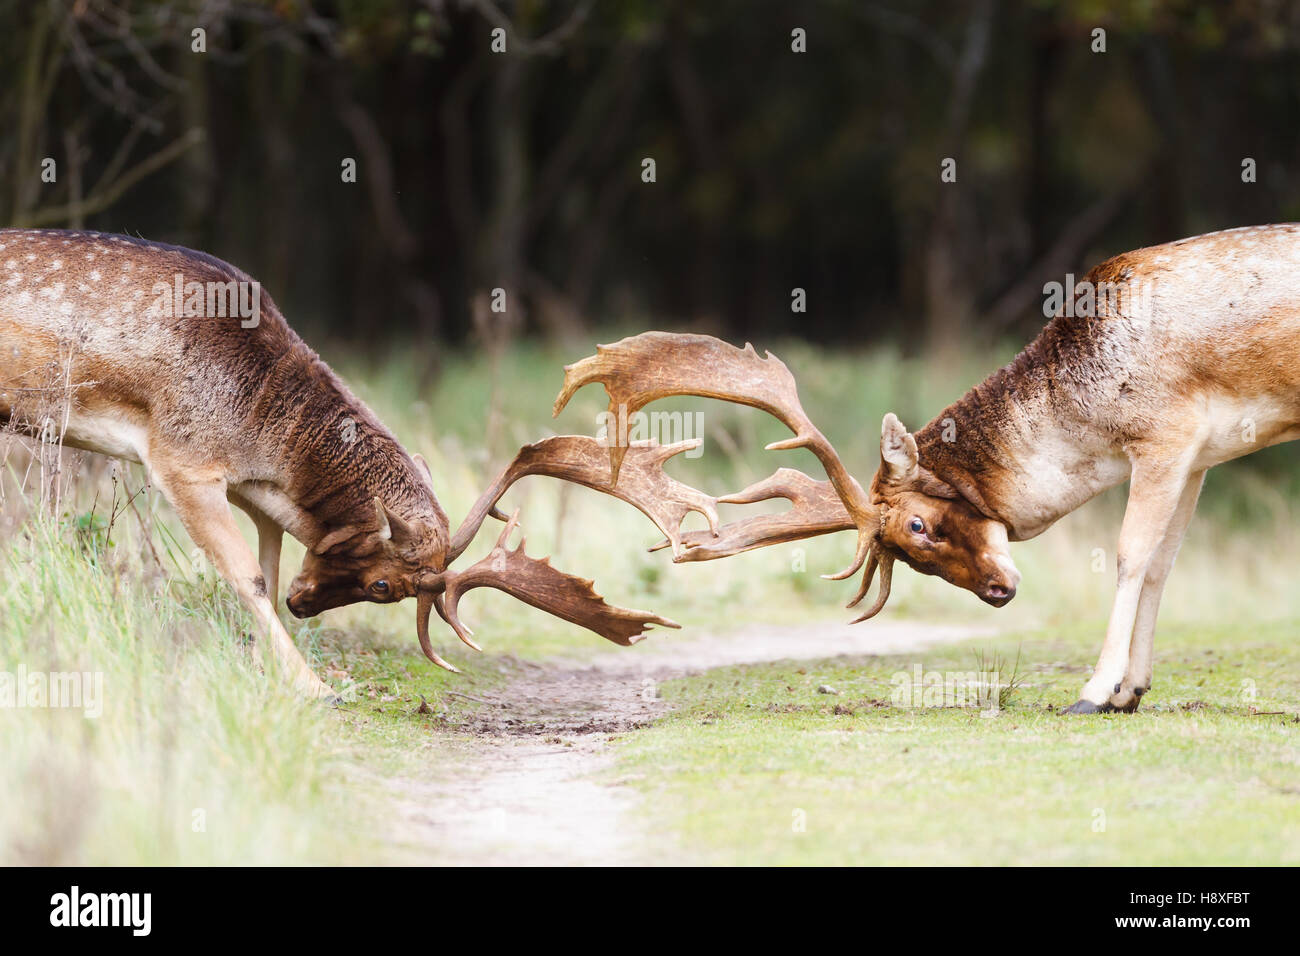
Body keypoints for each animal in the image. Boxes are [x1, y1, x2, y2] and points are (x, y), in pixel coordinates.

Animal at [535, 226, 1300, 717]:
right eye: (911, 550)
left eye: (918, 524)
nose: (999, 592)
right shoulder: (1200, 451)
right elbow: (1166, 561)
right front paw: (1130, 692)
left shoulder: (1165, 432)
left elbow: (1131, 554)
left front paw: (1092, 692)